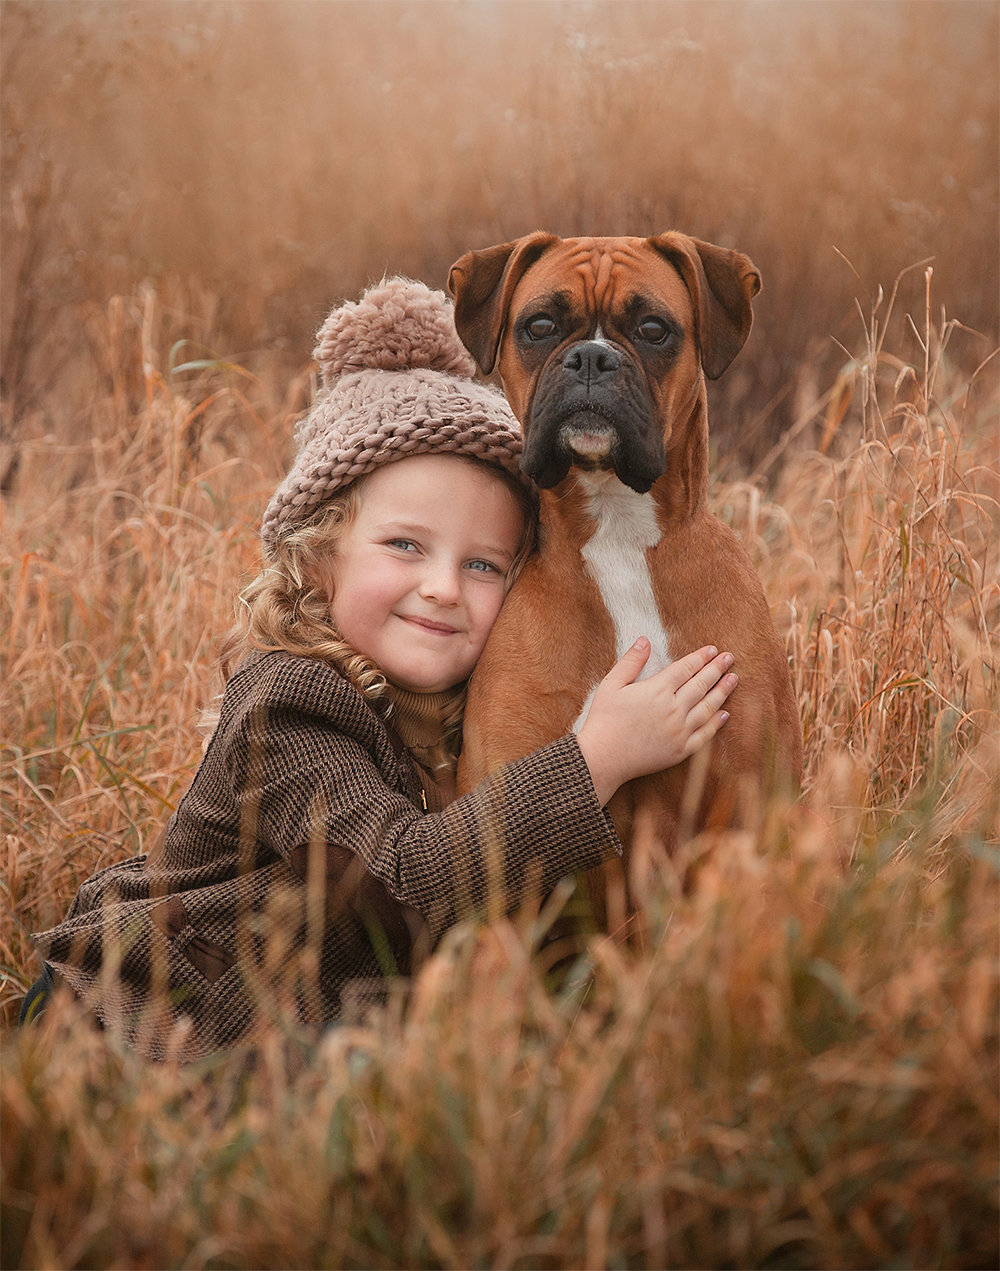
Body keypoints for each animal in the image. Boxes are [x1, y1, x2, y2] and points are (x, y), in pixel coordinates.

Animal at [449, 228, 803, 925]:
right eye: (539, 326)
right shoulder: (508, 830)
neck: (617, 531)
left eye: (652, 329)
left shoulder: (741, 811)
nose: (590, 358)